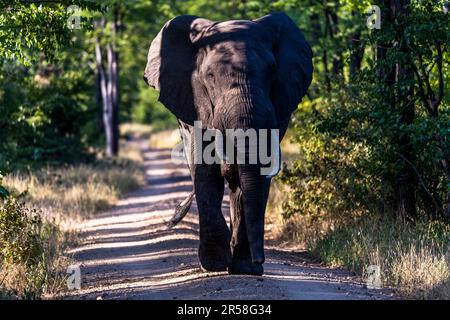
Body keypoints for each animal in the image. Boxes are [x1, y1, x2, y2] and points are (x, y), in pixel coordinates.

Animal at [144, 12, 312, 276]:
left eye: (272, 71)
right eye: (210, 76)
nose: (260, 262)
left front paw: (245, 268)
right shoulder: (196, 104)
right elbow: (205, 170)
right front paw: (214, 264)